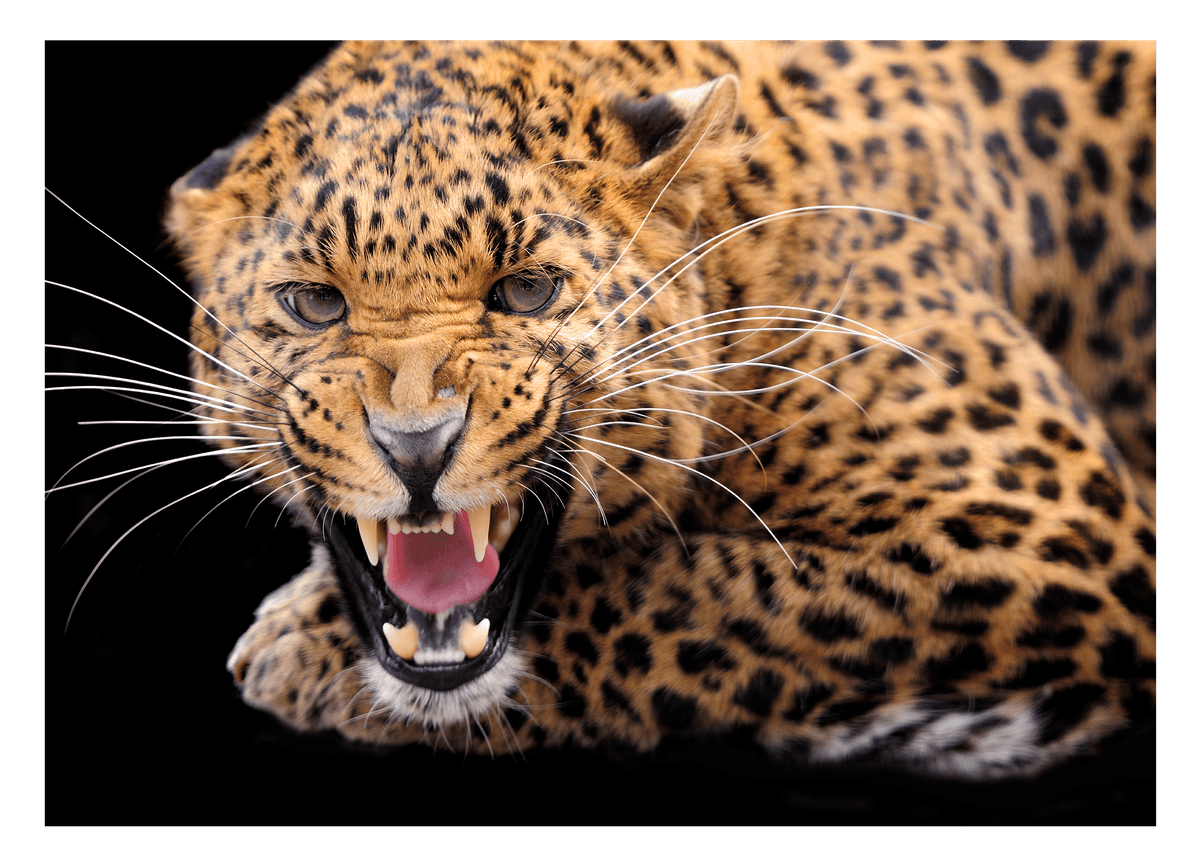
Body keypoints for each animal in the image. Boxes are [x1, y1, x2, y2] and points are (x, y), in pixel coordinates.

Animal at [61, 39, 1158, 782]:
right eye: (314, 304)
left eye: (527, 290)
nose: (416, 448)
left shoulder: (1055, 534)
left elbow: (710, 591)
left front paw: (304, 654)